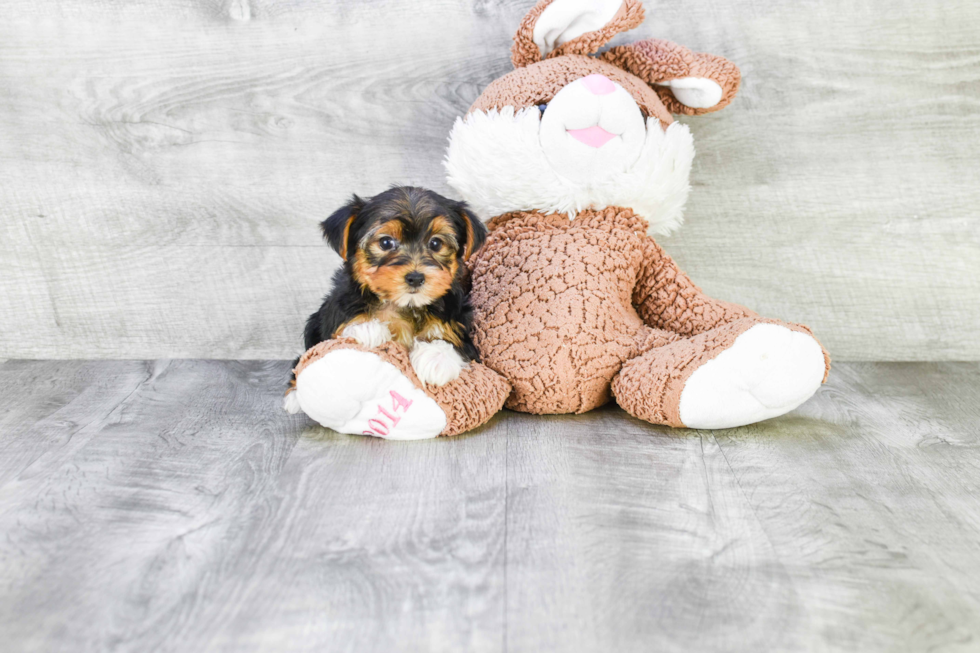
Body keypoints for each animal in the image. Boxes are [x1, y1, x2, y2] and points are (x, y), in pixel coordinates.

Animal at [284, 187, 486, 412]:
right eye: (386, 242)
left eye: (436, 243)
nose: (416, 277)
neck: (405, 305)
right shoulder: (336, 312)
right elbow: (341, 330)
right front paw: (368, 328)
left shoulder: (458, 324)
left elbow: (456, 344)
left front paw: (436, 359)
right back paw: (294, 397)